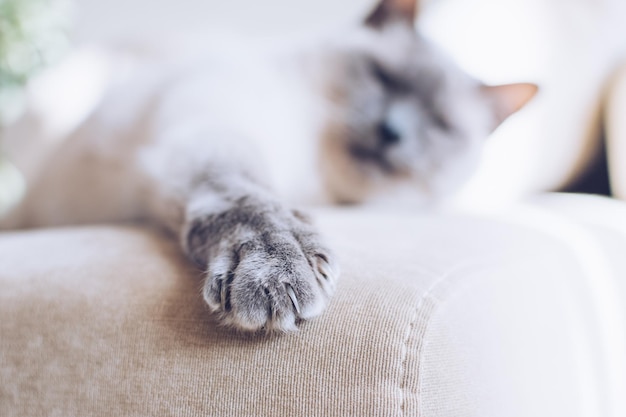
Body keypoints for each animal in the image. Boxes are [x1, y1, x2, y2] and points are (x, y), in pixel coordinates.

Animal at [0, 0, 536, 332]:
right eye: (383, 77)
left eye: (440, 125)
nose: (392, 131)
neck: (316, 177)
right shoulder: (212, 130)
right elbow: (251, 202)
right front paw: (278, 266)